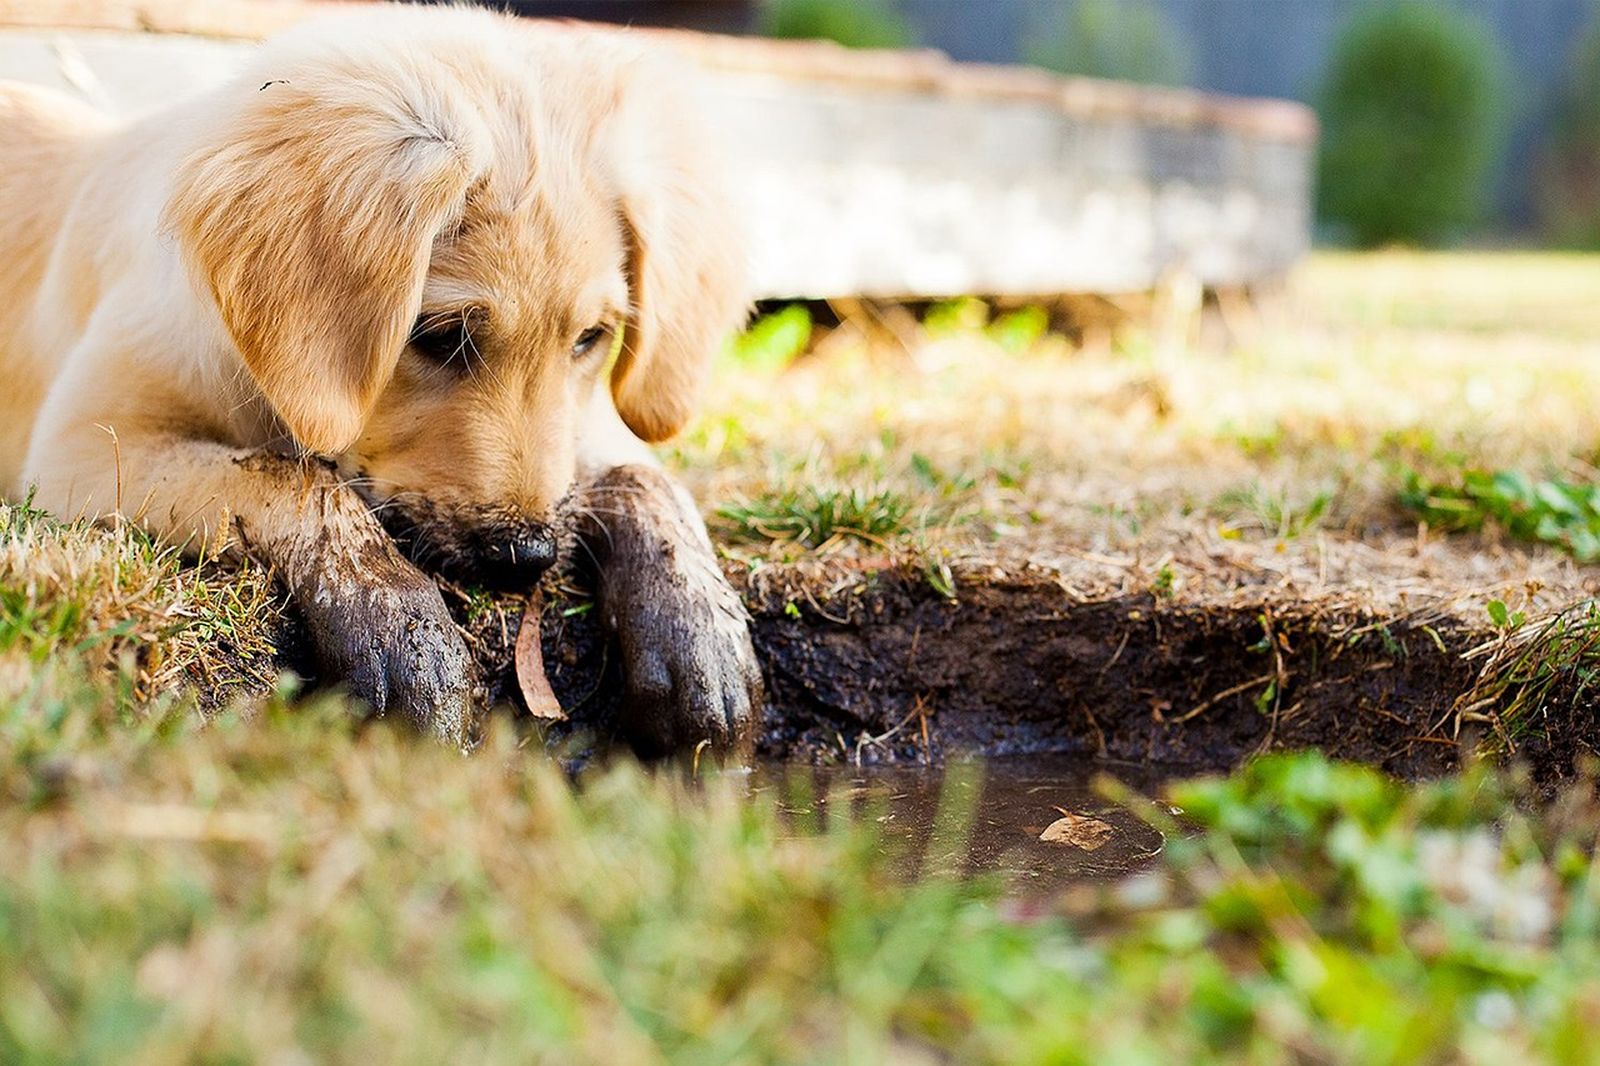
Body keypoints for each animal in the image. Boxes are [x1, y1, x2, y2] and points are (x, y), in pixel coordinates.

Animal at [0, 6, 758, 745]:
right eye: (442, 338)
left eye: (590, 340)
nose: (527, 558)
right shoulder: (82, 450)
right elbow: (293, 478)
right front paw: (398, 626)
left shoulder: (578, 429)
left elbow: (643, 477)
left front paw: (697, 630)